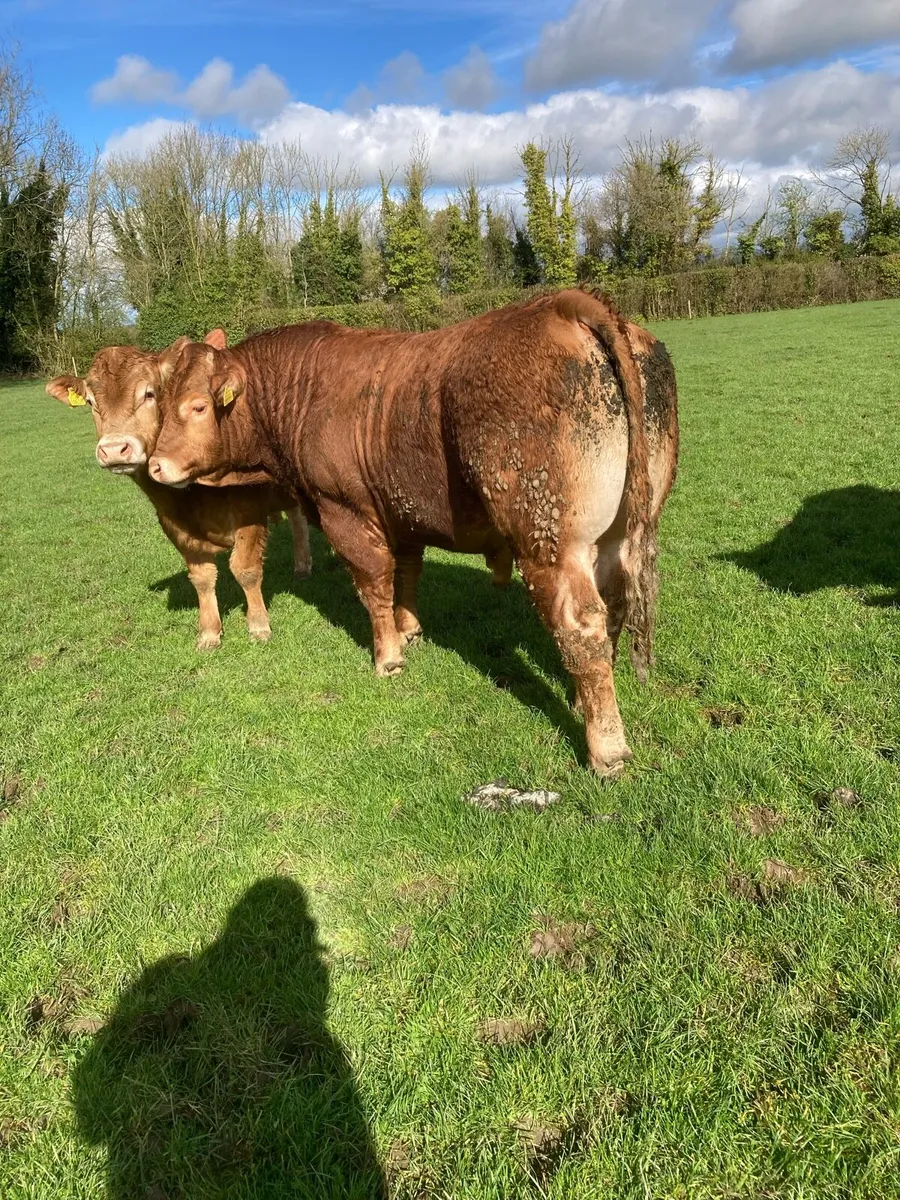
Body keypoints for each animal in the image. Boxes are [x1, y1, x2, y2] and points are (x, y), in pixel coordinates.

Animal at [45, 331, 312, 650]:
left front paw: (258, 625)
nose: (114, 449)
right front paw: (209, 632)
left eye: (149, 394)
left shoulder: (249, 511)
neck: (190, 497)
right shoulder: (174, 524)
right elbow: (202, 577)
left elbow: (245, 570)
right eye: (90, 401)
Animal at [148, 289, 678, 776]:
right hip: (616, 534)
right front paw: (410, 631)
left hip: (548, 538)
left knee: (581, 625)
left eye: (197, 406)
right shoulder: (399, 512)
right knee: (613, 607)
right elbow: (406, 573)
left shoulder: (345, 511)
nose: (155, 464)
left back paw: (605, 749)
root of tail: (565, 304)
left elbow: (374, 583)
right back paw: (581, 700)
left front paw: (388, 656)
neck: (302, 392)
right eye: (160, 403)